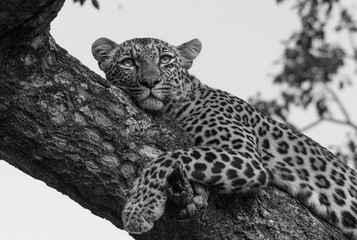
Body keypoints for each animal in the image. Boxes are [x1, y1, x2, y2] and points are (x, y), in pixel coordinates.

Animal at [92, 37, 357, 238]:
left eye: (165, 59)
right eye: (128, 63)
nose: (150, 82)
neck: (178, 105)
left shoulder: (247, 159)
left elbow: (168, 158)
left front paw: (140, 209)